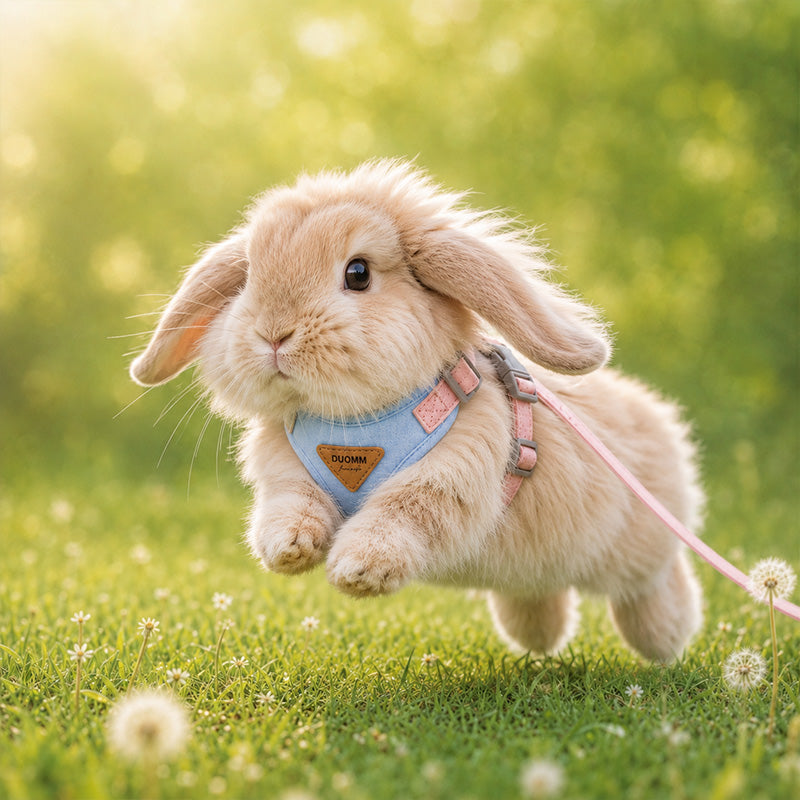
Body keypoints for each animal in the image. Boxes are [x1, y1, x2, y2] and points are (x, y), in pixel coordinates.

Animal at [130, 159, 704, 662]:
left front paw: (356, 570)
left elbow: (400, 512)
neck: (356, 422)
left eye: (358, 273)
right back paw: (538, 640)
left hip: (640, 547)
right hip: (538, 570)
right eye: (249, 276)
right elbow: (292, 506)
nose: (273, 334)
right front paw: (287, 550)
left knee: (659, 581)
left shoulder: (449, 479)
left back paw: (667, 643)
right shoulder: (288, 475)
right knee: (539, 591)